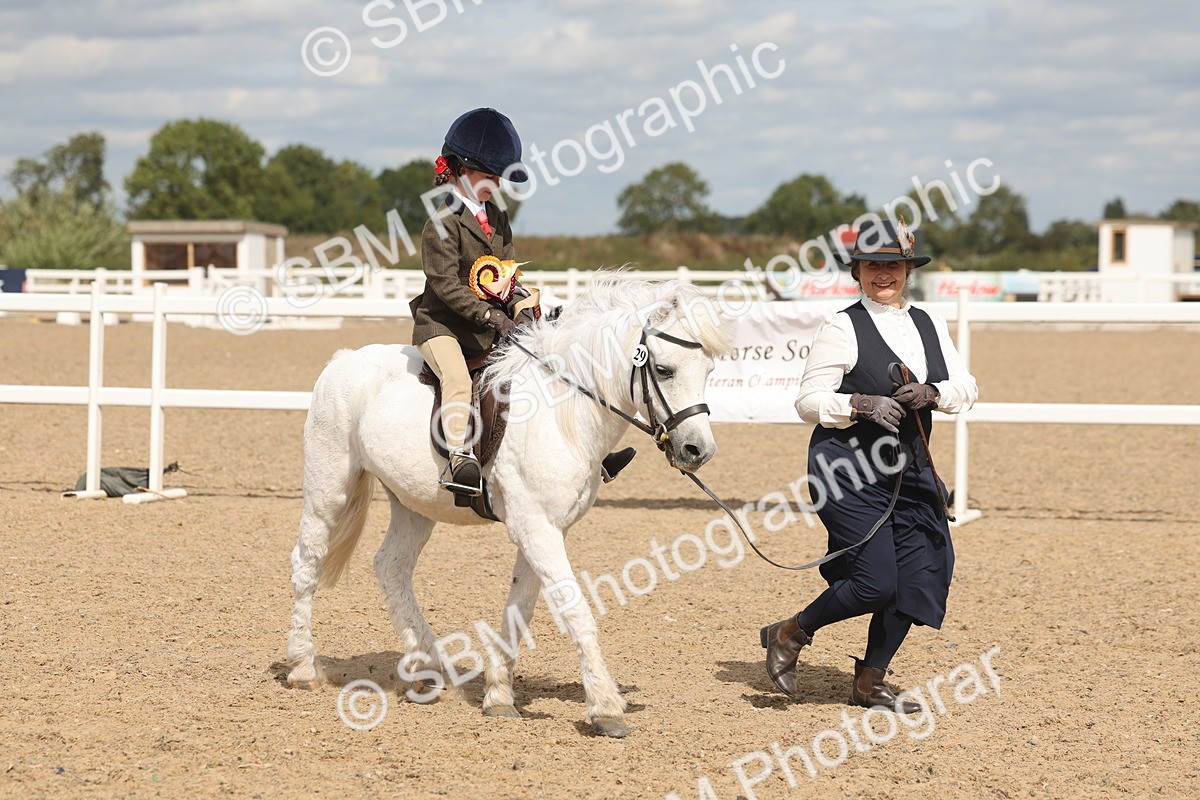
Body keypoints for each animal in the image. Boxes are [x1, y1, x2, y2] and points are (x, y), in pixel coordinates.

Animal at [285, 276, 731, 738]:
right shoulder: (537, 528)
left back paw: (427, 668)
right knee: (308, 562)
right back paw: (303, 667)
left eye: (709, 371)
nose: (698, 451)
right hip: (329, 486)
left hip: (413, 504)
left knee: (391, 567)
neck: (561, 409)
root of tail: (343, 359)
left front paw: (499, 696)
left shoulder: (547, 528)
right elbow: (575, 609)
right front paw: (606, 707)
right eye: (664, 370)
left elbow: (520, 608)